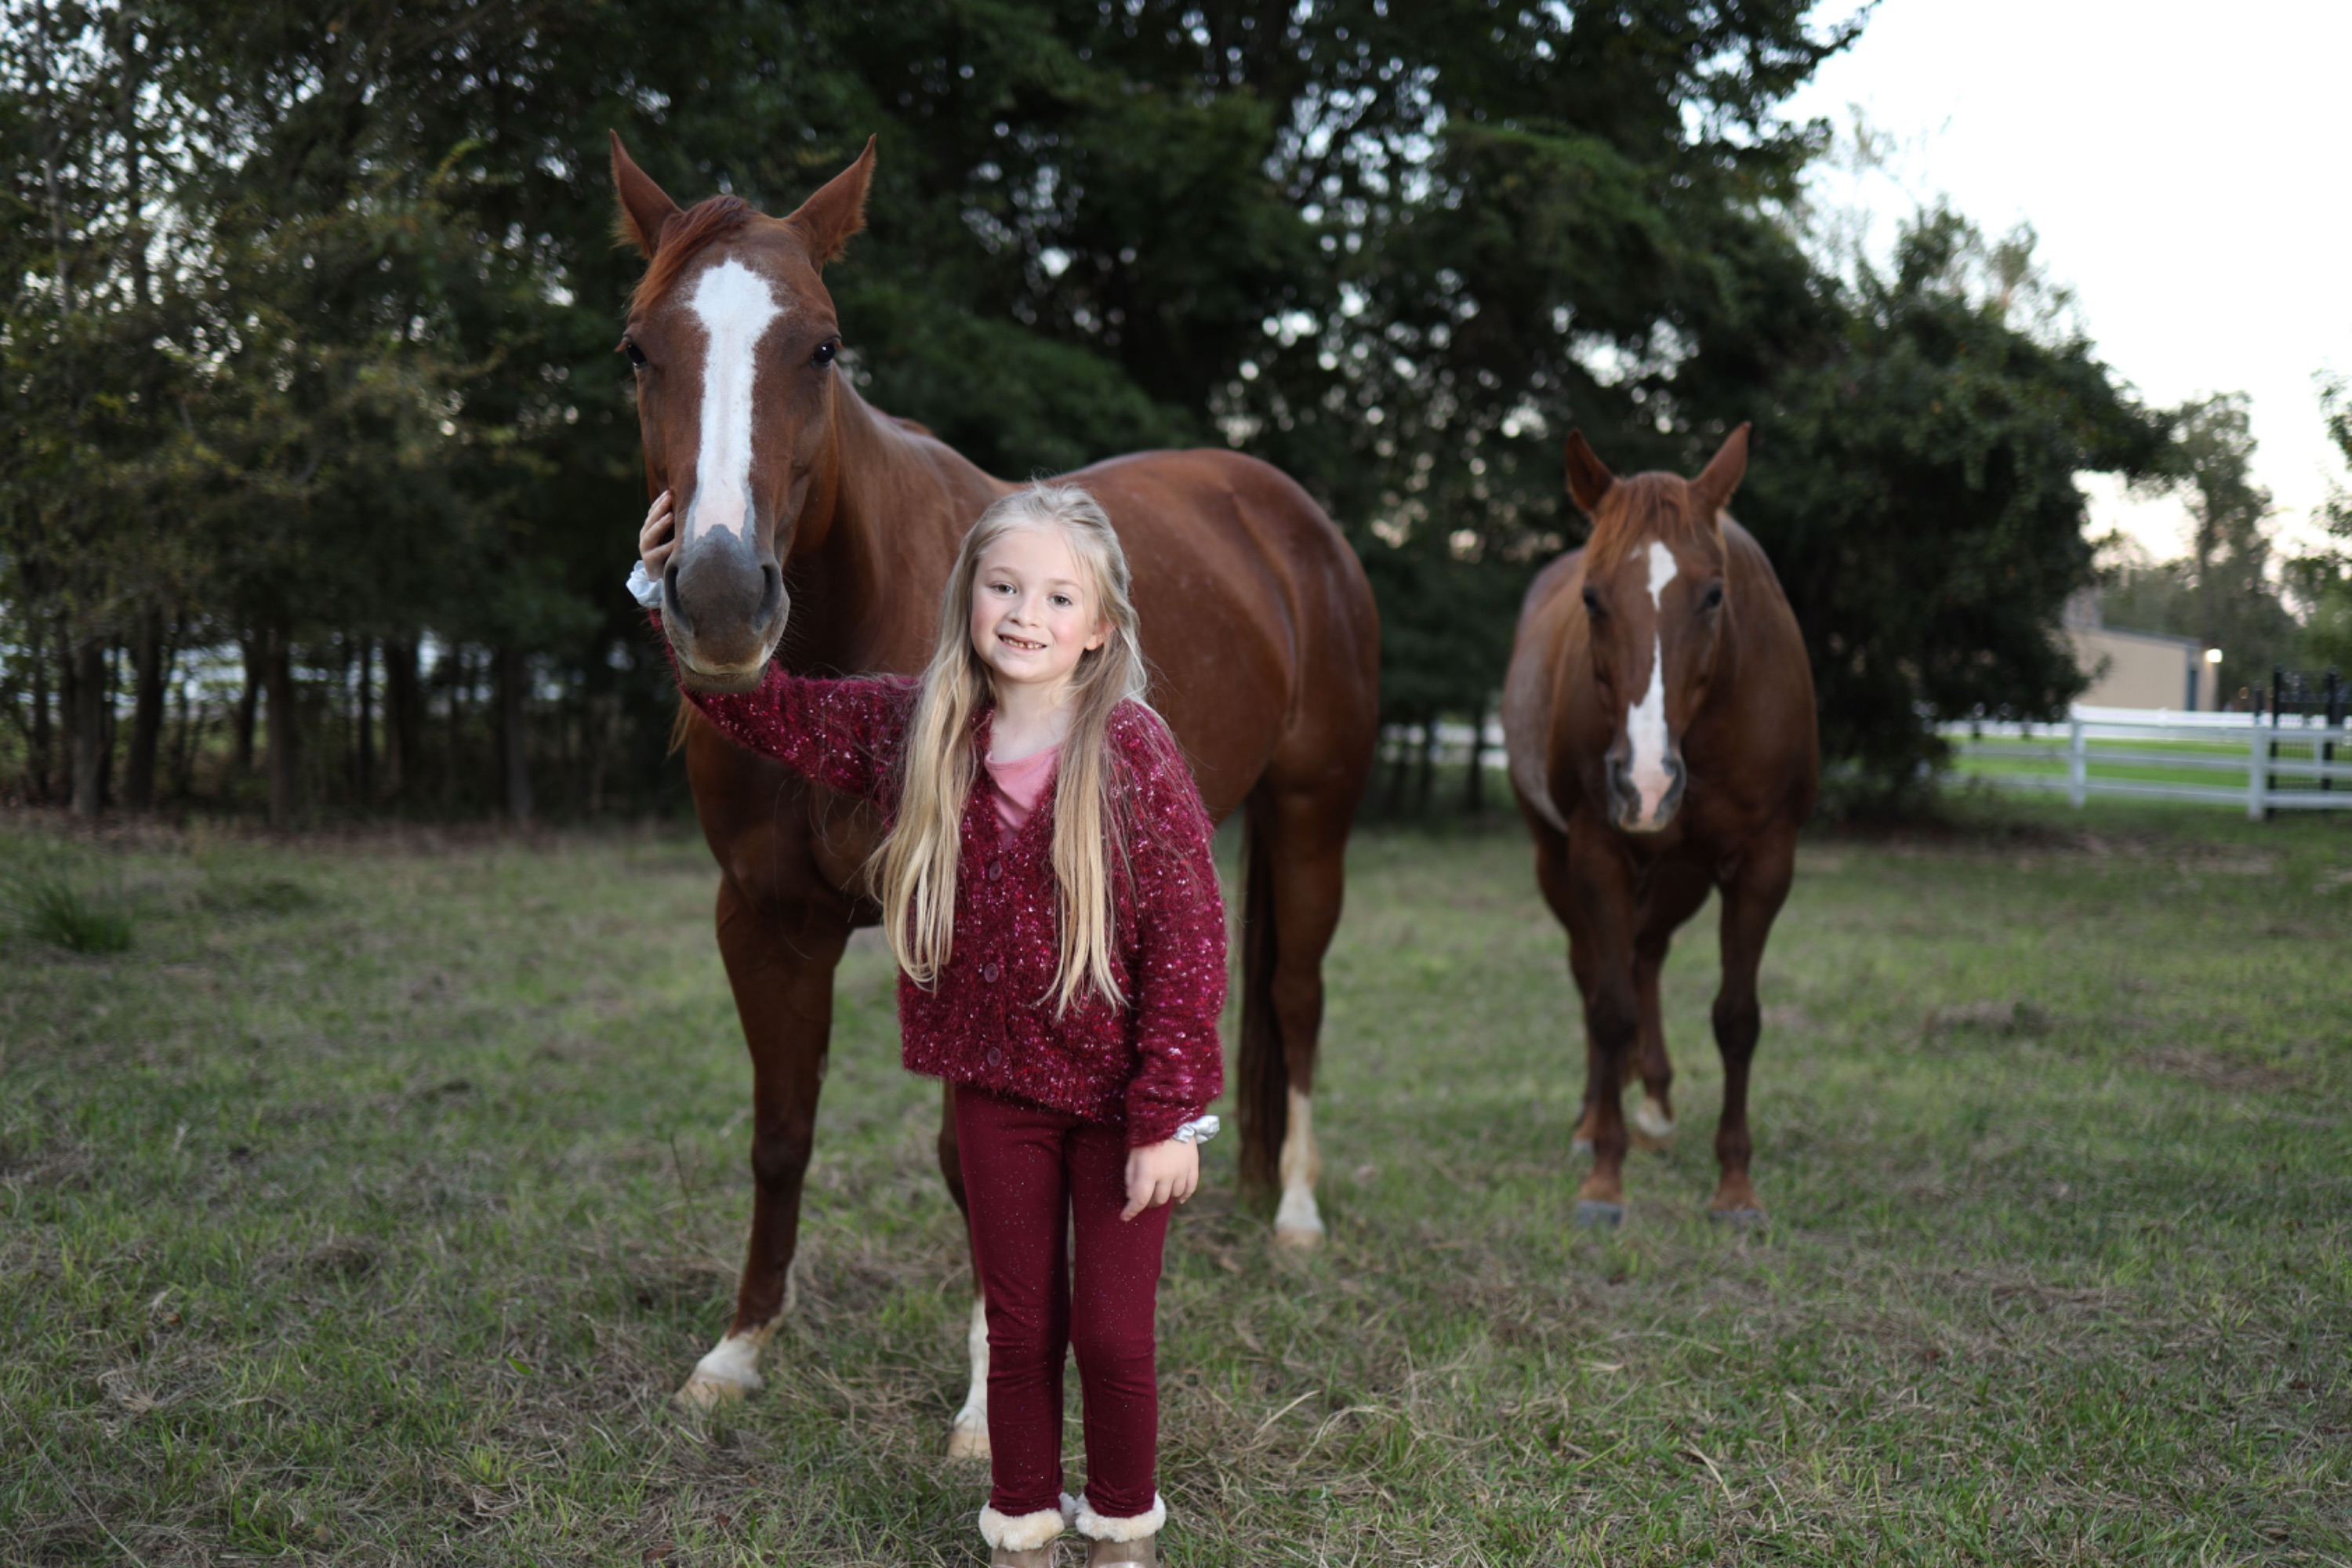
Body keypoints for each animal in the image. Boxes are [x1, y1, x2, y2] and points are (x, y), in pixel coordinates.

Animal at [1500, 425, 1817, 1228]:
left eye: (1713, 595)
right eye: (1591, 597)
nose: (1646, 783)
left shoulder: (1765, 863)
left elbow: (1737, 1017)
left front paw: (1735, 1186)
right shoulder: (1598, 852)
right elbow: (1610, 1010)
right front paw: (1604, 1182)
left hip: (1679, 875)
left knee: (1646, 958)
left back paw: (1656, 1109)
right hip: (1559, 859)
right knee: (1595, 974)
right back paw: (1596, 1122)